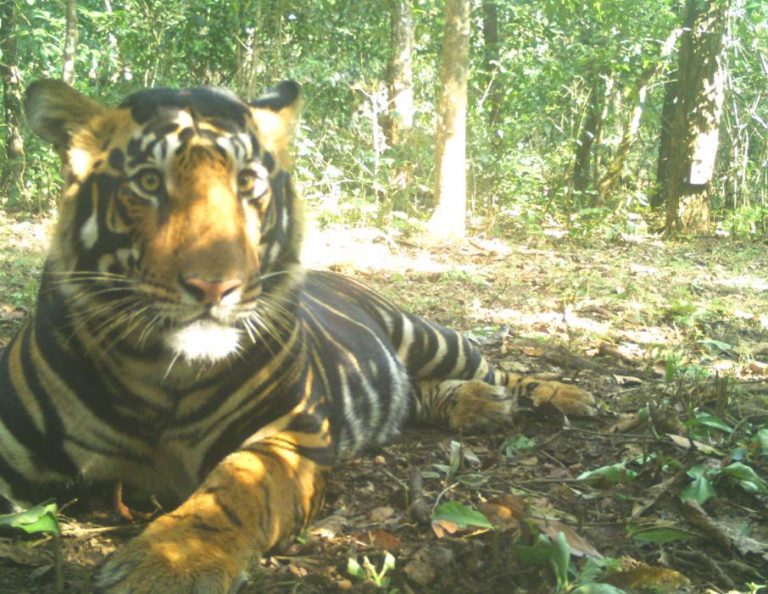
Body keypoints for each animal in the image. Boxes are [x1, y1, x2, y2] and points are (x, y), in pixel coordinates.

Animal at [0, 79, 596, 594]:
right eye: (148, 182)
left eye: (247, 183)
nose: (215, 285)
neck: (158, 373)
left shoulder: (288, 432)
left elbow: (233, 490)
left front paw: (168, 566)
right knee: (426, 392)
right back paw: (481, 406)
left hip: (425, 334)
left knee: (496, 366)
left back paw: (563, 395)